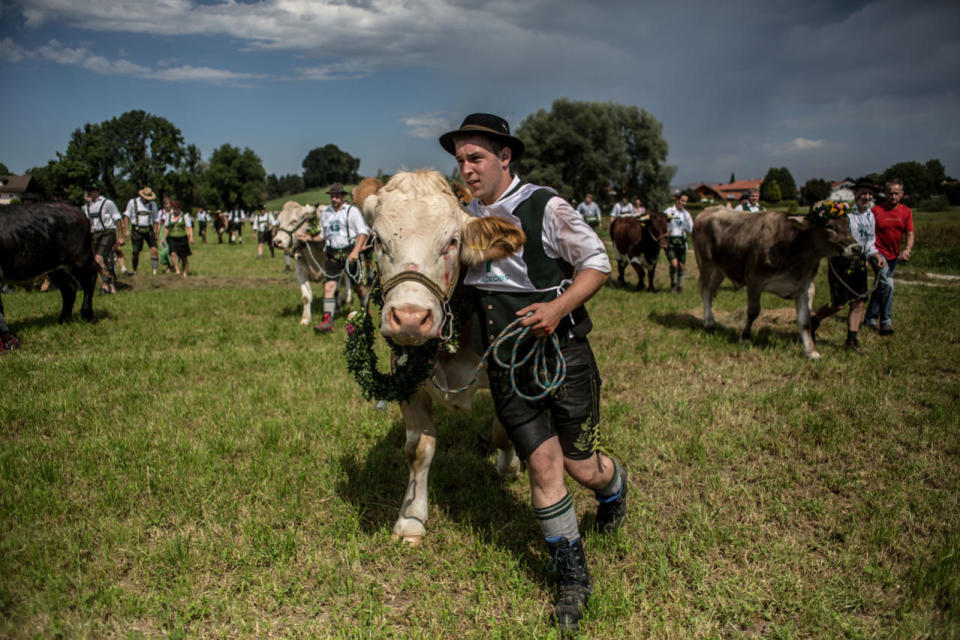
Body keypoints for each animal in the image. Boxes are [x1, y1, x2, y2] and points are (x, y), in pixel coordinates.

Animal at [0, 202, 101, 352]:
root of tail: (77, 210)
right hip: (55, 267)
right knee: (69, 288)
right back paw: (64, 320)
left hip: (80, 258)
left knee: (90, 279)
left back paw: (88, 315)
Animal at [360, 170, 524, 544]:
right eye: (377, 241)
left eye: (451, 242)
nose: (409, 317)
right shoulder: (408, 385)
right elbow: (417, 449)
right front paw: (411, 518)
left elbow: (503, 430)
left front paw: (508, 466)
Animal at [692, 208, 860, 358]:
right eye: (829, 226)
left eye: (848, 224)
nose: (856, 248)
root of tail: (707, 211)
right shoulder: (754, 279)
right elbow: (753, 312)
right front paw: (745, 338)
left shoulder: (805, 287)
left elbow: (805, 321)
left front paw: (811, 351)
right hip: (705, 263)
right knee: (704, 289)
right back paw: (708, 321)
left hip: (720, 269)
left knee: (711, 290)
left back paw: (711, 318)